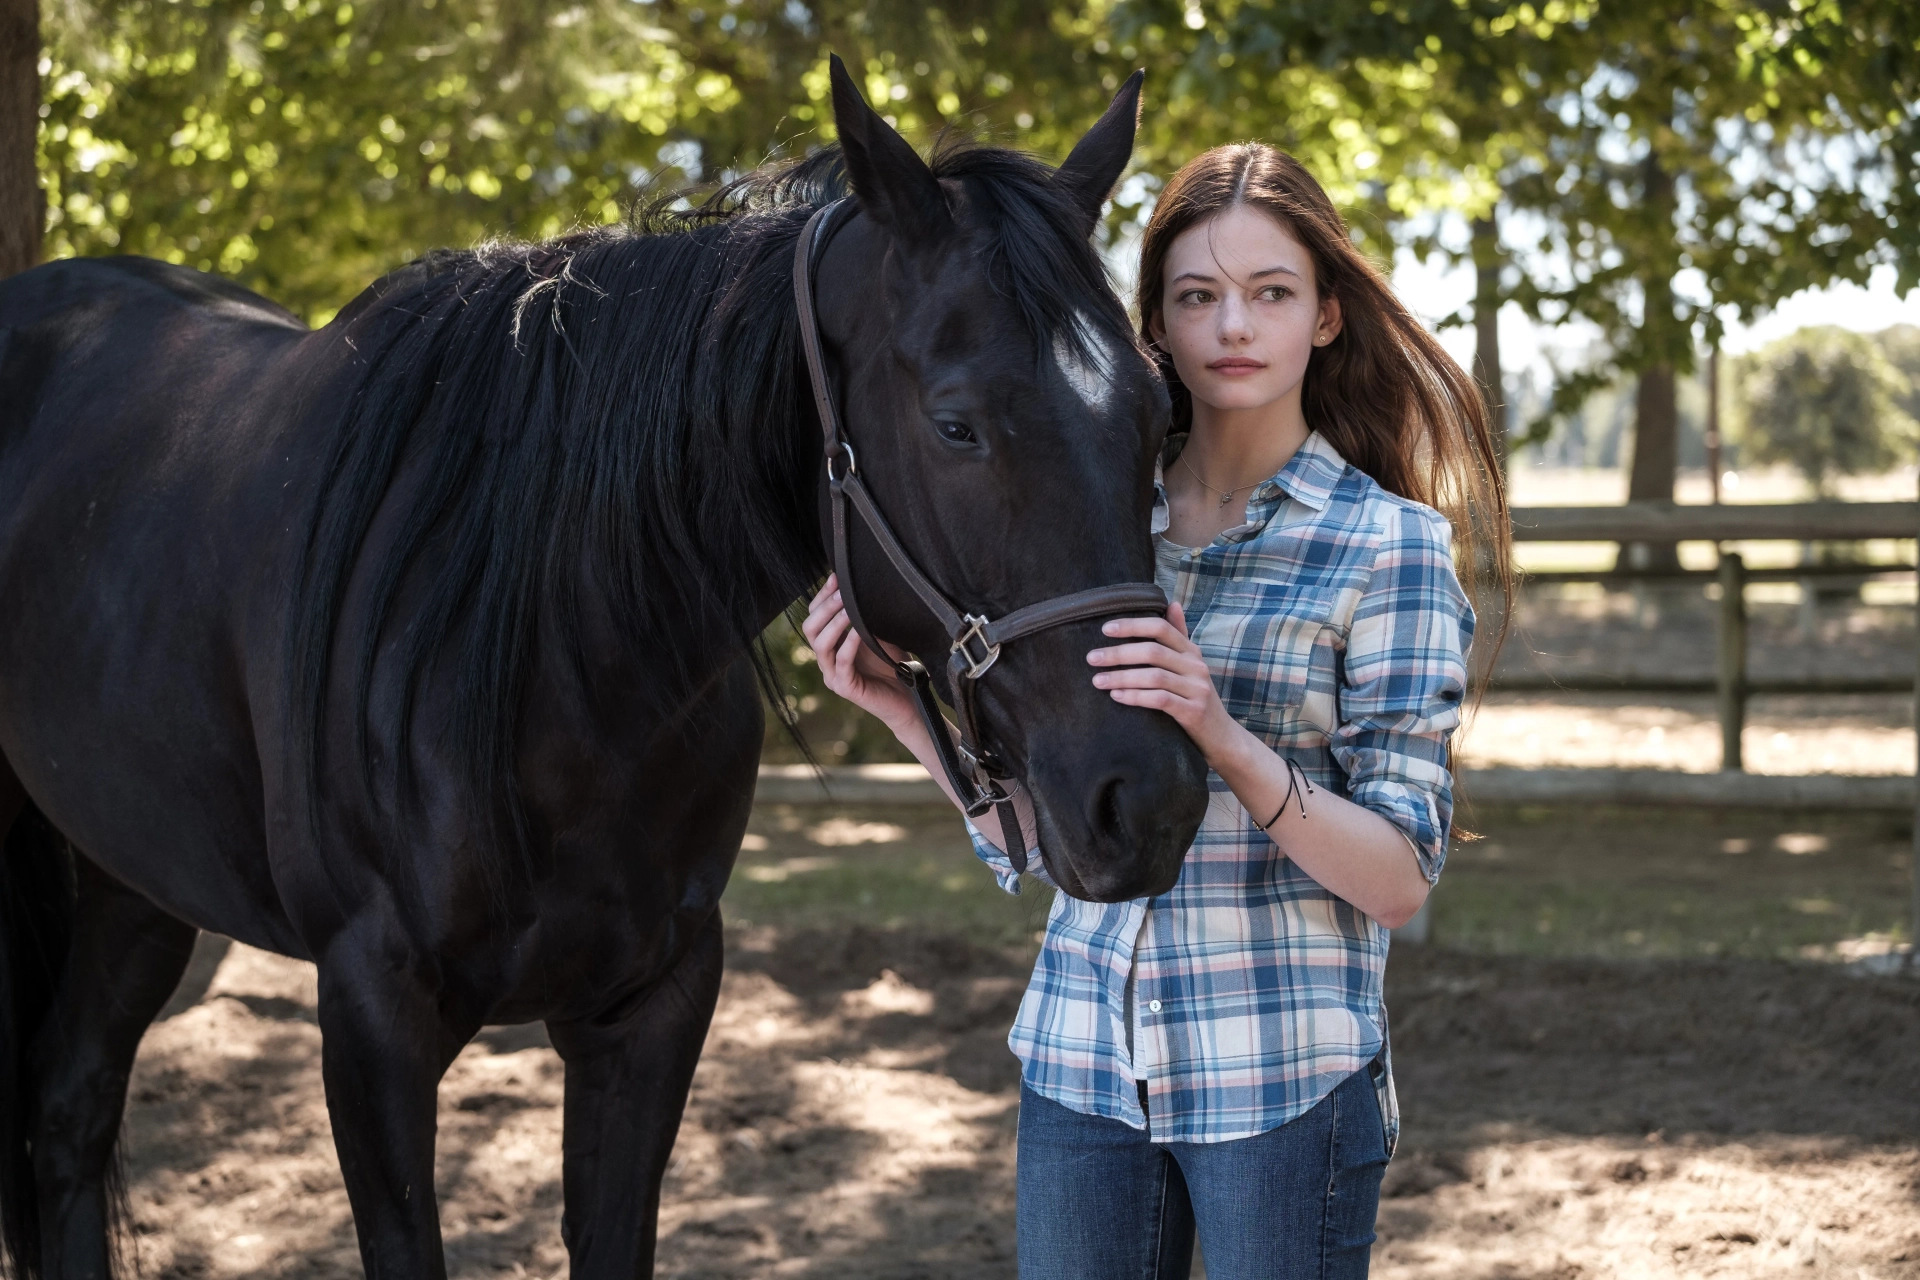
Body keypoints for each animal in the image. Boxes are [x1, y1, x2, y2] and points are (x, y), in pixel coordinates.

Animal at [0, 57, 1198, 1274]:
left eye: (1161, 414)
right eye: (957, 425)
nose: (1148, 800)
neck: (550, 662)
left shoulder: (652, 1003)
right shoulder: (372, 1014)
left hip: (133, 880)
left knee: (67, 1109)